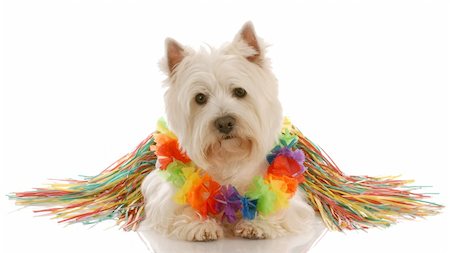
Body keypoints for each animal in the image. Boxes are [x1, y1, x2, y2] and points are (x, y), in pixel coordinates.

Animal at [142, 21, 316, 241]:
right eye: (200, 98)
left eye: (240, 91)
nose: (224, 123)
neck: (229, 156)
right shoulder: (167, 196)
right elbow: (185, 203)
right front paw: (199, 224)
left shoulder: (290, 200)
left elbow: (275, 204)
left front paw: (258, 224)